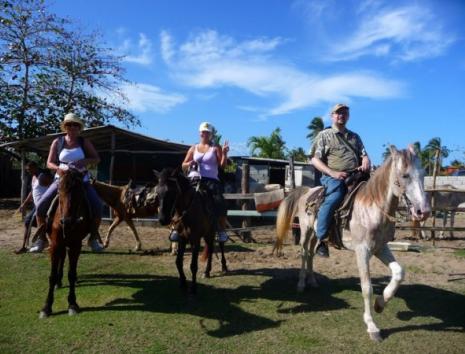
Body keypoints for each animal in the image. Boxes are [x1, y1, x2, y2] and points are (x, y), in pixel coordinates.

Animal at [39, 168, 92, 318]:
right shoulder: (55, 245)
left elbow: (71, 274)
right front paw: (46, 307)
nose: (68, 221)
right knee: (62, 257)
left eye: (80, 190)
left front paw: (72, 304)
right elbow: (51, 276)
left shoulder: (75, 245)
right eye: (59, 189)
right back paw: (58, 281)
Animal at [274, 145, 430, 342]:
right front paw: (372, 326)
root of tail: (308, 192)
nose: (423, 211)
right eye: (405, 175)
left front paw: (380, 304)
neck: (372, 207)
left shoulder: (380, 247)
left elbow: (398, 272)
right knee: (303, 253)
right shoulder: (362, 251)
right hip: (305, 230)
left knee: (311, 254)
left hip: (317, 234)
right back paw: (302, 284)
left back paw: (313, 281)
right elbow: (367, 287)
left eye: (423, 174)